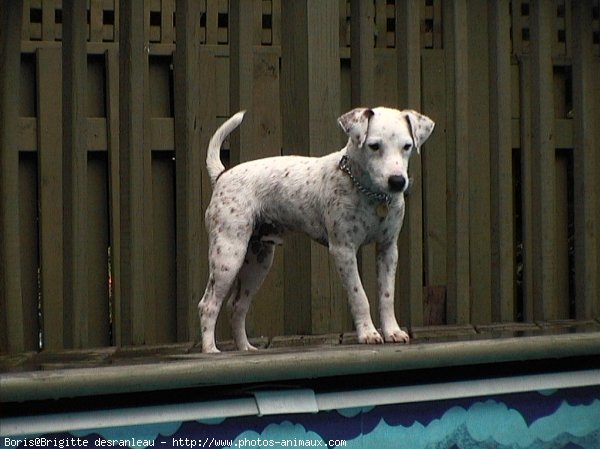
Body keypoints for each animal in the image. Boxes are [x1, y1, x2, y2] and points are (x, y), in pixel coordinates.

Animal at [199, 107, 434, 352]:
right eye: (374, 146)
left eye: (407, 146)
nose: (397, 181)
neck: (369, 192)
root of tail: (222, 175)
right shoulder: (343, 250)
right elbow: (359, 296)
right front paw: (368, 333)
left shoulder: (388, 249)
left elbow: (387, 296)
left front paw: (392, 331)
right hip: (228, 256)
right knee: (208, 304)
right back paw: (211, 350)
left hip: (257, 262)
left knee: (237, 305)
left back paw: (245, 348)